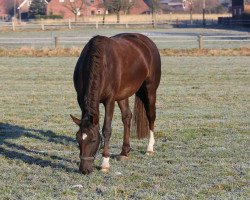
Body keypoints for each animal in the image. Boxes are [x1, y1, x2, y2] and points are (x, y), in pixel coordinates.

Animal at [70, 32, 161, 173]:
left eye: (94, 140)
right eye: (77, 138)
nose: (84, 170)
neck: (101, 64)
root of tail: (146, 41)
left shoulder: (110, 100)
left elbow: (106, 129)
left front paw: (105, 163)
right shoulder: (80, 99)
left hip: (150, 89)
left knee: (151, 116)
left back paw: (149, 148)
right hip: (123, 94)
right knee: (127, 117)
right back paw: (124, 152)